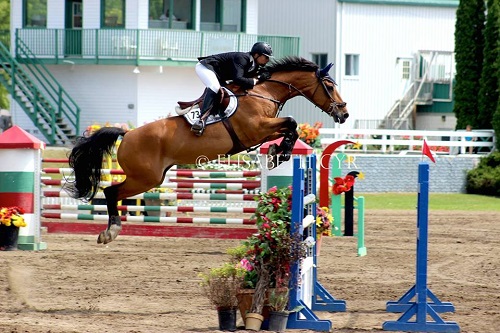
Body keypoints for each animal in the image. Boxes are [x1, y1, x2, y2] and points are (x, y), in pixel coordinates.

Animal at [64, 56, 348, 244]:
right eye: (330, 86)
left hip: (149, 178)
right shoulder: (256, 128)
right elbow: (291, 122)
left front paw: (279, 151)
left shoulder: (265, 130)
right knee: (111, 192)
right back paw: (110, 231)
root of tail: (128, 133)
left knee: (112, 192)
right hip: (145, 178)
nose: (344, 114)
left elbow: (290, 128)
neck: (264, 92)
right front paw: (282, 152)